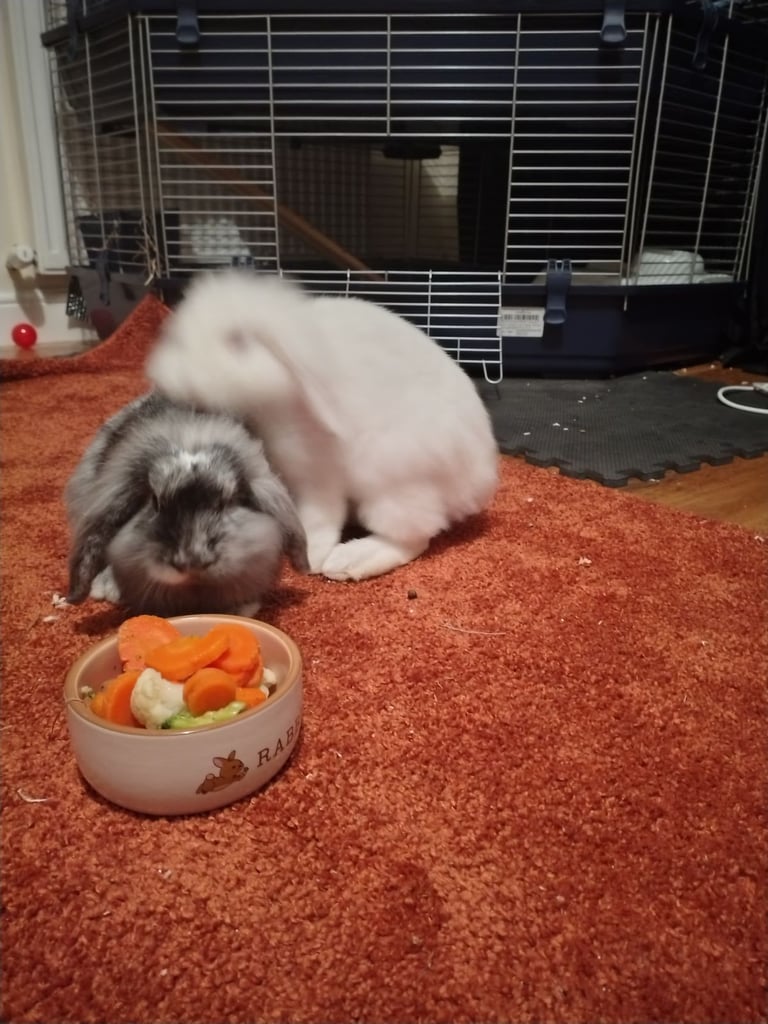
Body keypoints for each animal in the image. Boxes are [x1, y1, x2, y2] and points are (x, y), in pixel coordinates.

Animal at [145, 270, 499, 582]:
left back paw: (347, 561)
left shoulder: (317, 472)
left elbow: (318, 516)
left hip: (393, 483)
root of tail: (478, 483)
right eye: (178, 338)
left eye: (238, 341)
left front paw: (312, 556)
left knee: (414, 537)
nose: (170, 378)